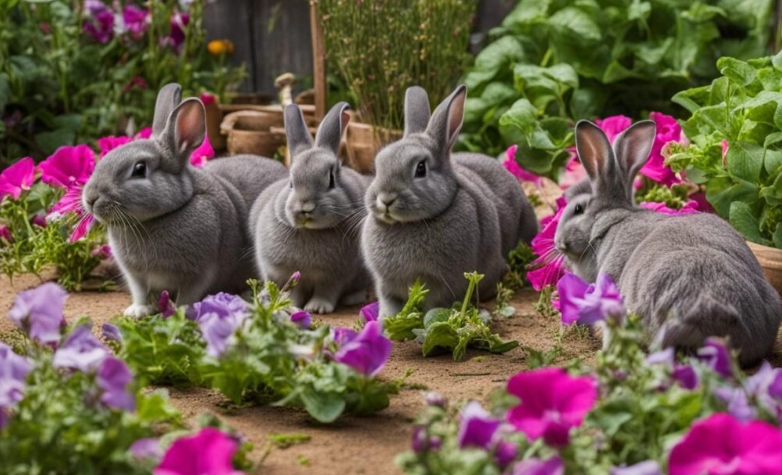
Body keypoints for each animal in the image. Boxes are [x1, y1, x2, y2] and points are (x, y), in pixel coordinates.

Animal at [83, 83, 287, 318]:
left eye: (139, 169)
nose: (90, 198)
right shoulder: (136, 276)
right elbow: (140, 292)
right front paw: (138, 311)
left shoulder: (199, 272)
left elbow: (188, 295)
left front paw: (182, 312)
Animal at [250, 102, 371, 314]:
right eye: (291, 182)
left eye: (331, 180)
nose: (305, 207)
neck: (311, 232)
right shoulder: (293, 274)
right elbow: (295, 292)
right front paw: (292, 305)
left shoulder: (335, 276)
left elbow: (327, 291)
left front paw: (318, 308)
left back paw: (353, 298)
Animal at [362, 84, 539, 318]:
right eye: (377, 166)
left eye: (420, 168)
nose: (385, 198)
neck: (407, 225)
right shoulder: (386, 285)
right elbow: (390, 305)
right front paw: (385, 321)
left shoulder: (444, 284)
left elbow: (434, 306)